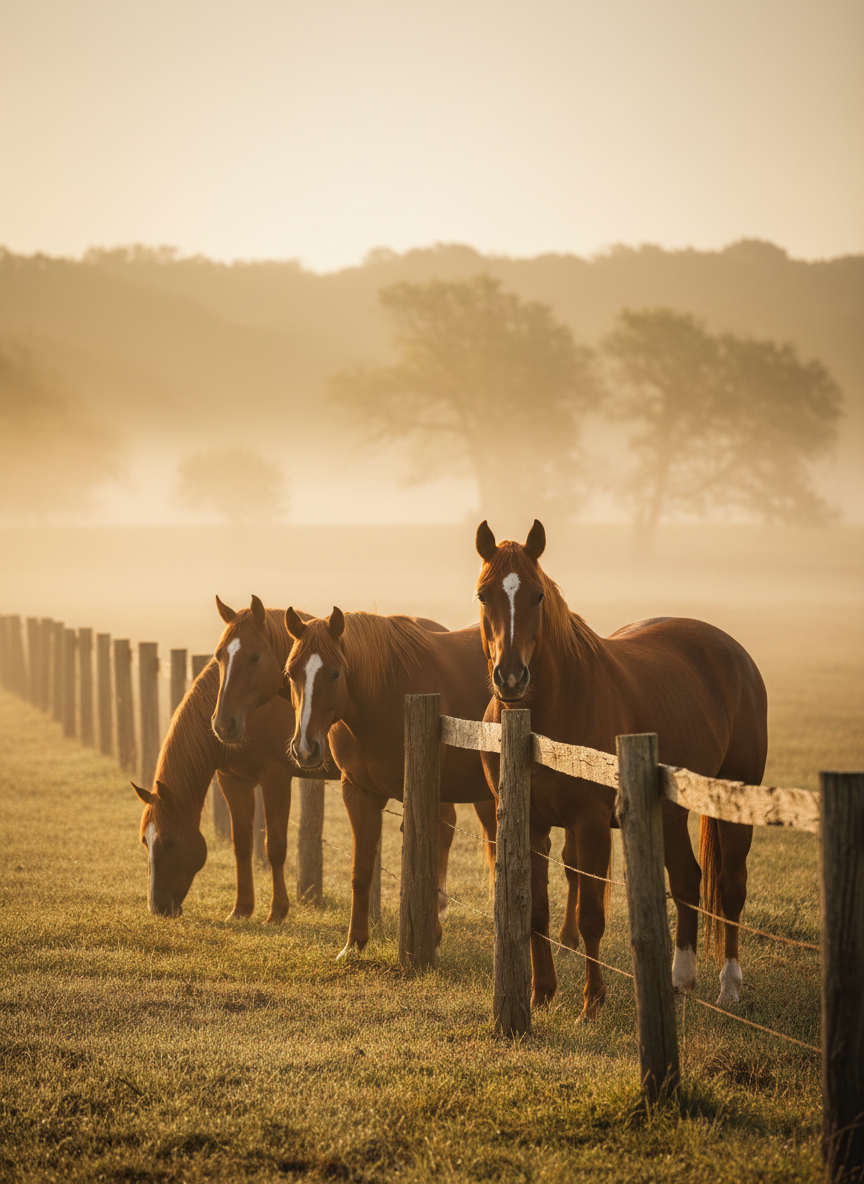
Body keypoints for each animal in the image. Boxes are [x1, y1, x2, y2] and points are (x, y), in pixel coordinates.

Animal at [133, 595, 319, 919]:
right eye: (145, 840)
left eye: (168, 841)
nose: (157, 908)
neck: (256, 711)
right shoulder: (234, 780)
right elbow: (242, 844)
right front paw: (241, 909)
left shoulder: (276, 779)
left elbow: (275, 847)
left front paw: (277, 911)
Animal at [212, 599, 499, 955]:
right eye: (290, 673)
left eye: (335, 673)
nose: (305, 748)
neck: (385, 696)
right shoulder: (359, 793)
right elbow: (360, 871)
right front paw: (354, 944)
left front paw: (428, 934)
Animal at [474, 519, 767, 1020]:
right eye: (483, 594)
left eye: (537, 595)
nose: (511, 678)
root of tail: (735, 654)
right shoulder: (530, 823)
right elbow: (536, 911)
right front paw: (542, 994)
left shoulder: (589, 822)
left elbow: (591, 915)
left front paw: (592, 1003)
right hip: (669, 814)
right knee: (687, 880)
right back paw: (679, 981)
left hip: (735, 801)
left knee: (731, 887)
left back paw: (729, 987)